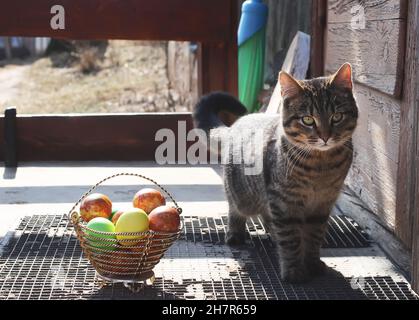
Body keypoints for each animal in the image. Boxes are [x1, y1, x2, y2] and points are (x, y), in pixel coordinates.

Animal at [195, 63, 360, 282]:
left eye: (337, 117)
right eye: (308, 120)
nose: (325, 137)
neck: (320, 165)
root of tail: (236, 124)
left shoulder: (322, 205)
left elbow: (313, 238)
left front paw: (312, 263)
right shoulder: (284, 202)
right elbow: (291, 240)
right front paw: (293, 271)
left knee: (267, 216)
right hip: (242, 195)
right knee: (235, 210)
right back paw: (235, 233)